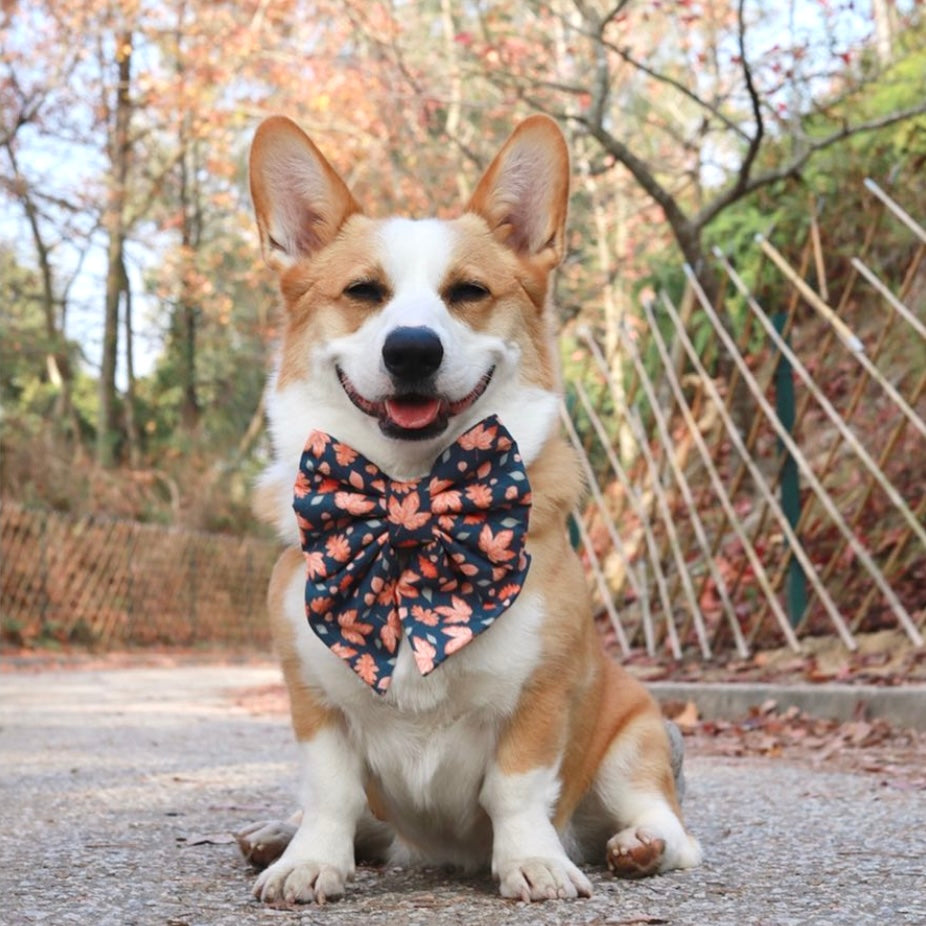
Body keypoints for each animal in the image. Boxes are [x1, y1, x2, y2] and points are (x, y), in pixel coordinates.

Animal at [239, 110, 704, 908]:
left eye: (468, 292)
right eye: (363, 291)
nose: (412, 351)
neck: (410, 493)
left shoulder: (538, 700)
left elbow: (516, 790)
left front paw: (533, 862)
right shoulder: (316, 703)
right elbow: (331, 794)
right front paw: (311, 860)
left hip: (636, 740)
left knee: (666, 824)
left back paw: (638, 845)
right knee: (361, 822)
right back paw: (279, 833)